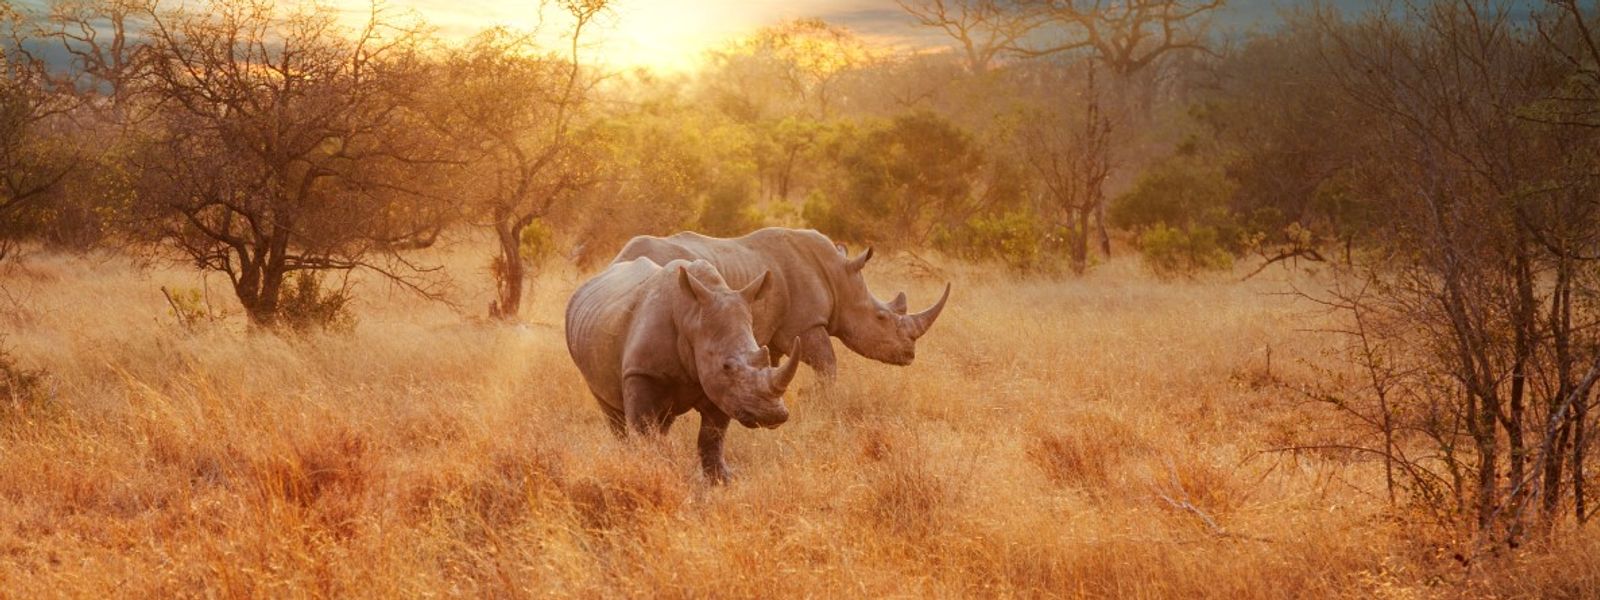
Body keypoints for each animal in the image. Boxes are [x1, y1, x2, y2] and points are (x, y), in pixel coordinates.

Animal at [565, 257, 802, 483]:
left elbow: (712, 437)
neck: (692, 318)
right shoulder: (641, 371)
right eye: (726, 366)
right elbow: (643, 430)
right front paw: (649, 469)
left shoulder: (721, 390)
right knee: (612, 413)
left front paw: (721, 480)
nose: (772, 415)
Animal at [611, 228, 950, 380]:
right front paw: (825, 407)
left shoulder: (772, 331)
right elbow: (828, 364)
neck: (839, 278)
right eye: (881, 317)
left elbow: (773, 365)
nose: (909, 354)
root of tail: (620, 260)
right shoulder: (803, 324)